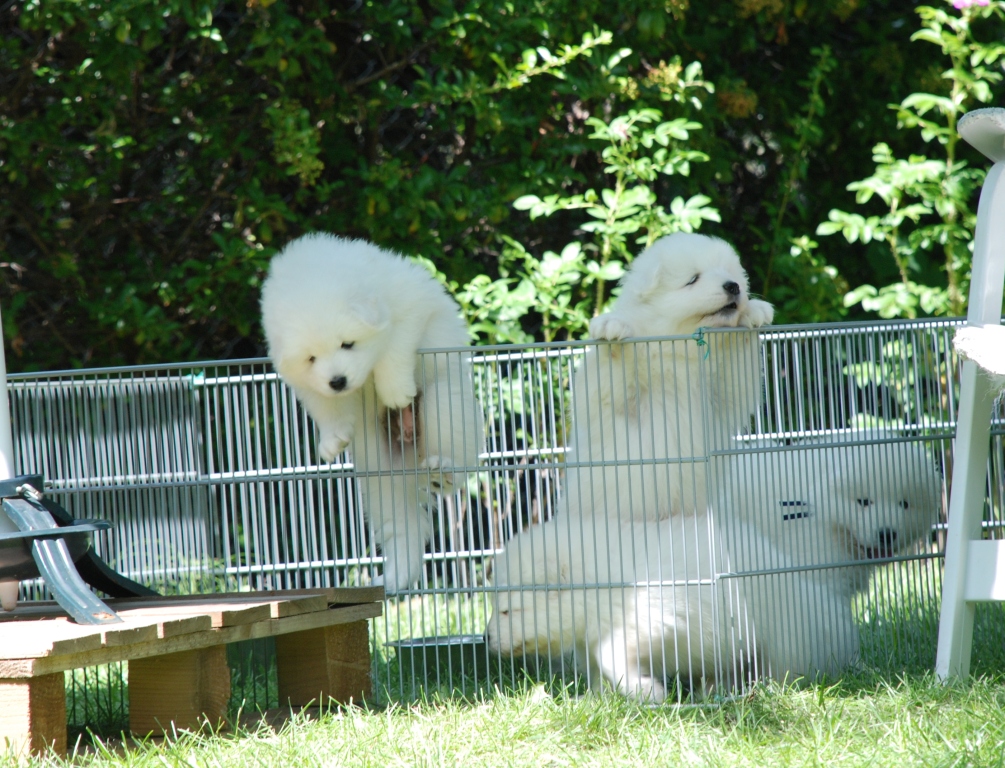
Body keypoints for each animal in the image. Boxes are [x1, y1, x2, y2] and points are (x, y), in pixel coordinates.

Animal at [260, 234, 484, 593]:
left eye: (348, 344)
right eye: (311, 358)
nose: (338, 381)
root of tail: (412, 461)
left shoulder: (408, 307)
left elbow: (394, 347)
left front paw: (395, 392)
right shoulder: (306, 382)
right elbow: (324, 403)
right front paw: (332, 439)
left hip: (445, 405)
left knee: (457, 469)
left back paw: (442, 470)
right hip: (379, 477)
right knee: (402, 528)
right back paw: (392, 579)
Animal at [565, 233, 774, 524]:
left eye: (730, 274)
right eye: (693, 279)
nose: (733, 287)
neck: (677, 353)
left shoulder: (723, 393)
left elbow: (738, 371)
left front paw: (753, 311)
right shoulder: (615, 404)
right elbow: (608, 375)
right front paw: (611, 327)